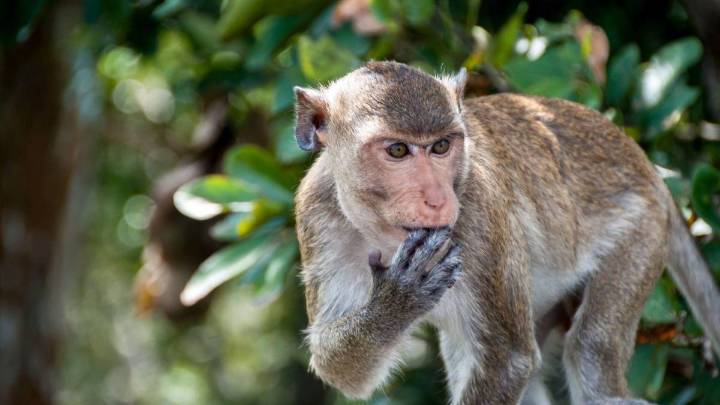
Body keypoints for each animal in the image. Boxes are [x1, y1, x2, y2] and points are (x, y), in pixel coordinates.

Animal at [292, 61, 720, 405]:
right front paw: (396, 302)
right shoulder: (316, 214)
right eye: (397, 150)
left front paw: (399, 294)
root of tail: (646, 164)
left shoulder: (480, 212)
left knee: (588, 347)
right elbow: (336, 366)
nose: (438, 198)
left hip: (642, 229)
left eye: (441, 146)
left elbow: (509, 361)